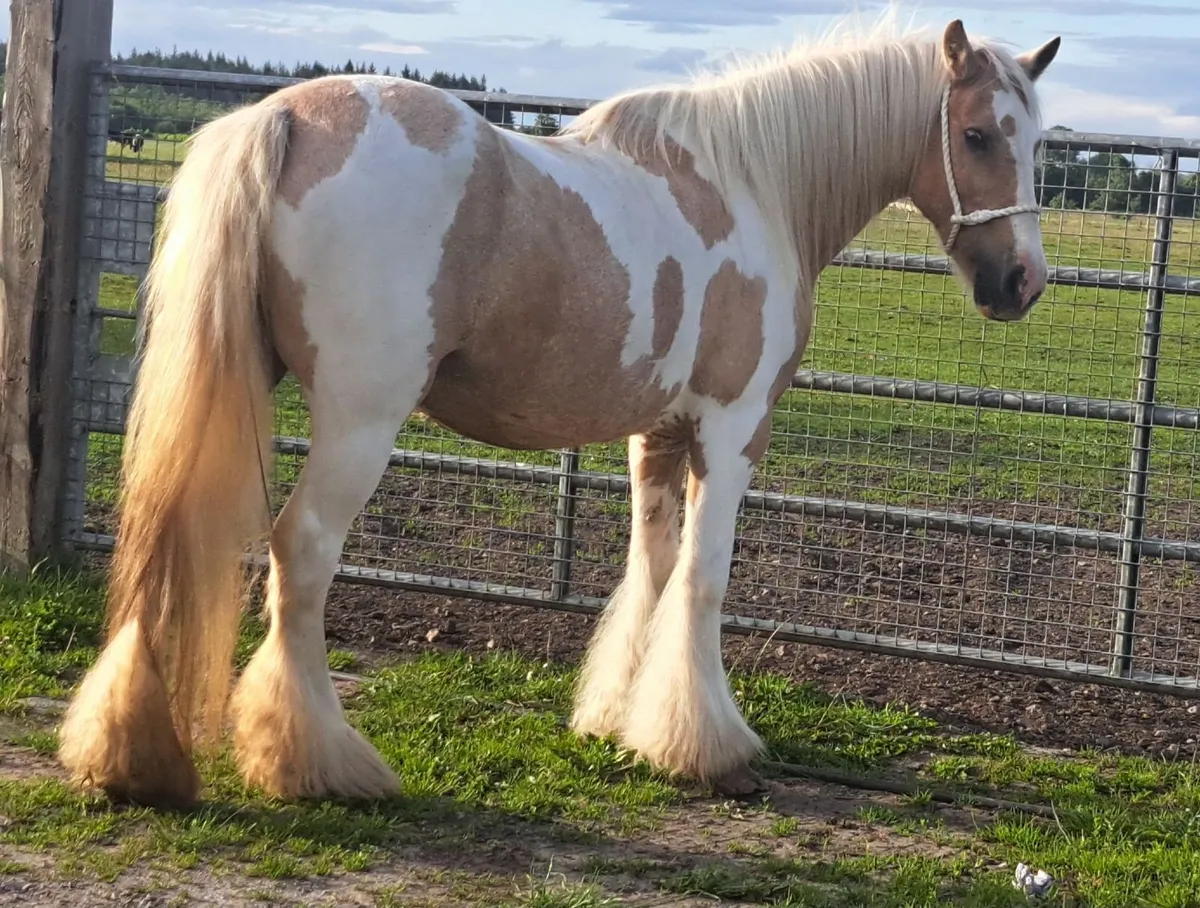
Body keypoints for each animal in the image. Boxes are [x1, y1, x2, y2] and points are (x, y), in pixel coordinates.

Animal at [57, 18, 1060, 807]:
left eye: (1037, 143)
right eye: (976, 134)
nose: (1022, 283)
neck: (751, 184)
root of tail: (290, 116)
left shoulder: (656, 434)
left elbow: (650, 567)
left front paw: (619, 721)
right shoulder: (734, 429)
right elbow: (703, 580)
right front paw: (711, 748)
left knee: (164, 528)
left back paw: (129, 758)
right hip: (360, 419)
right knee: (299, 552)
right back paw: (318, 765)